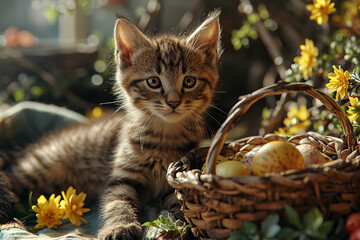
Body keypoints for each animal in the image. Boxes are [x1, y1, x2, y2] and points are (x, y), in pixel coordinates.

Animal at [0, 10, 221, 239]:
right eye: (153, 82)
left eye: (189, 81)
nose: (174, 102)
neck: (165, 133)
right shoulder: (121, 177)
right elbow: (118, 202)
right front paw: (120, 226)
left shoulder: (173, 178)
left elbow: (178, 202)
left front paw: (174, 223)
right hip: (42, 165)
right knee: (8, 173)